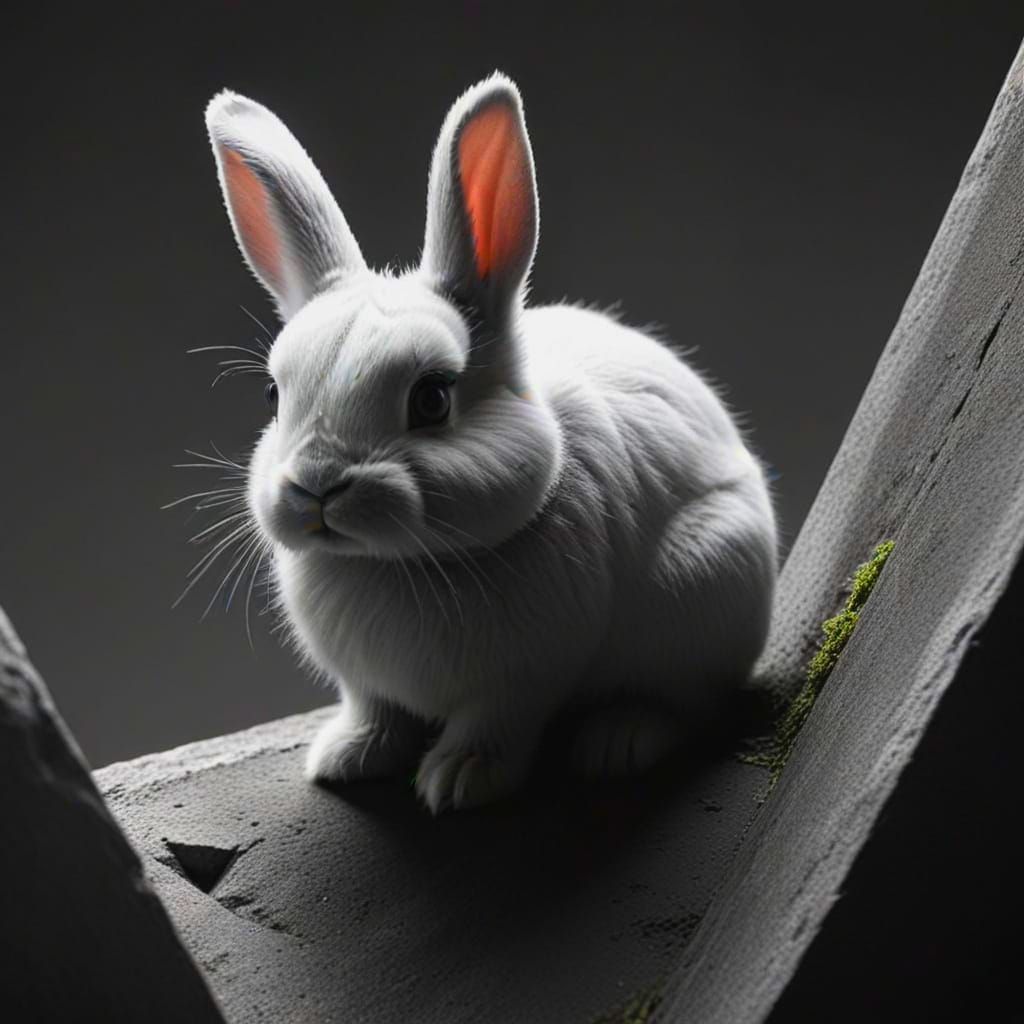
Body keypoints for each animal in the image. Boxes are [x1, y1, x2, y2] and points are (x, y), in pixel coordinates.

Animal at [204, 72, 777, 814]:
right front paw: (345, 758)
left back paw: (617, 742)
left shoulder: (524, 680)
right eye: (275, 397)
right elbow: (375, 713)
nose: (316, 486)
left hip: (706, 586)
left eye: (431, 399)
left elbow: (494, 726)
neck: (396, 564)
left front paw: (458, 782)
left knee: (687, 702)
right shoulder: (367, 685)